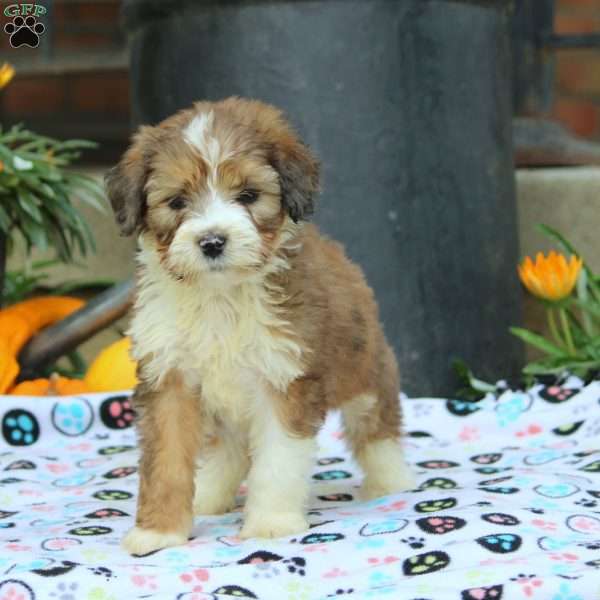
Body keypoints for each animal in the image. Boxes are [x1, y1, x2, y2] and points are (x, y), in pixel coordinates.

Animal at [105, 97, 414, 552]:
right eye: (177, 202)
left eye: (248, 195)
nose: (212, 241)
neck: (219, 297)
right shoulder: (169, 380)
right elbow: (166, 462)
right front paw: (158, 531)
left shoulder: (285, 380)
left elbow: (277, 461)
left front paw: (271, 522)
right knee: (228, 450)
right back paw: (210, 493)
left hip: (365, 368)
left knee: (376, 428)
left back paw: (392, 481)